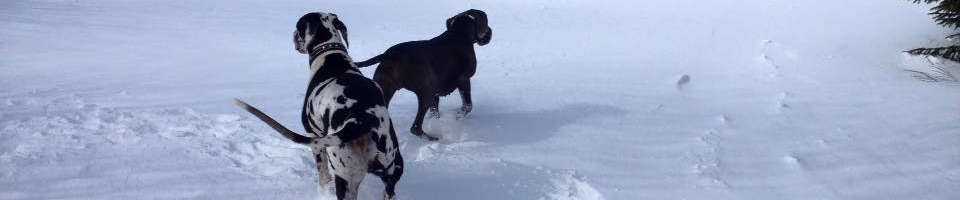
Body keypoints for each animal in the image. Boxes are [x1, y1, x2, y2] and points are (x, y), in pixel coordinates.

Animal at [234, 12, 404, 200]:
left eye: (298, 26)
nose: (293, 35)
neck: (331, 57)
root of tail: (360, 121)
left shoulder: (314, 137)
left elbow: (323, 176)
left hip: (344, 176)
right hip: (392, 169)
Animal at [352, 9, 492, 141]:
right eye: (486, 24)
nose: (490, 32)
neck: (459, 33)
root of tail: (390, 54)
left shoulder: (436, 94)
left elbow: (435, 112)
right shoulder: (464, 79)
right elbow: (467, 106)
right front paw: (455, 116)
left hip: (385, 92)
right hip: (426, 93)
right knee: (415, 128)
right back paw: (432, 138)